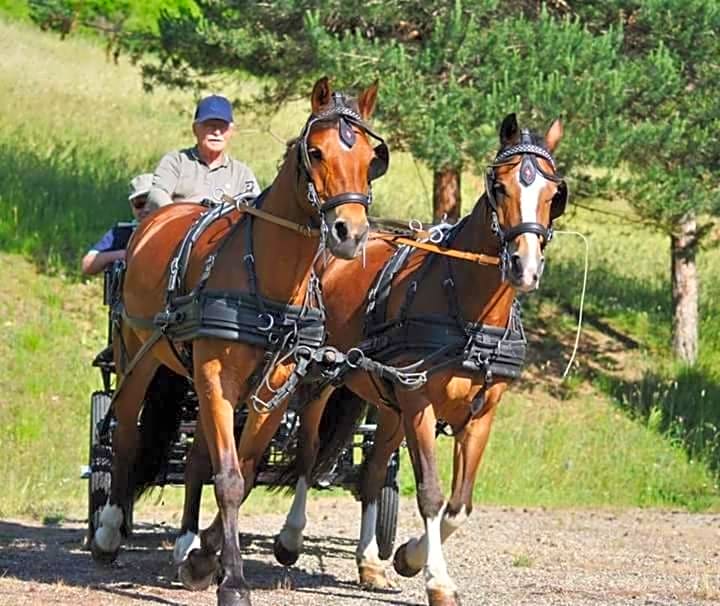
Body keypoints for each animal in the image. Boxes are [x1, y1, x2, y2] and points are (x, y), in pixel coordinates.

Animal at [91, 79, 388, 606]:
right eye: (315, 151)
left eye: (373, 157)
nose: (350, 233)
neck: (269, 278)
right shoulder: (217, 377)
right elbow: (228, 478)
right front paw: (231, 582)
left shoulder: (276, 388)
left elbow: (244, 471)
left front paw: (203, 559)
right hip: (137, 357)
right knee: (124, 434)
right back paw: (109, 530)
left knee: (195, 456)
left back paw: (186, 543)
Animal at [272, 114, 564, 606]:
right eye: (499, 186)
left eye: (553, 194)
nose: (524, 266)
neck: (468, 313)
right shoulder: (419, 405)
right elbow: (430, 493)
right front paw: (437, 581)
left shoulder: (480, 415)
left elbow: (460, 506)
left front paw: (408, 556)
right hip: (322, 379)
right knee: (309, 456)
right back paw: (290, 538)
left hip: (386, 403)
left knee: (372, 474)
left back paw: (370, 562)